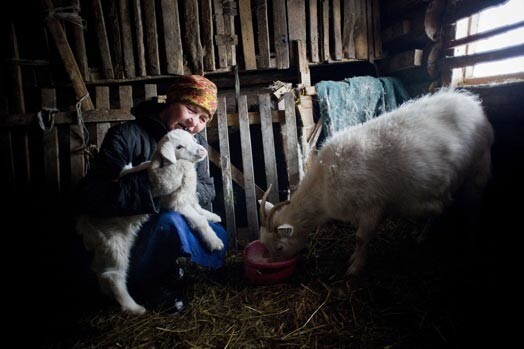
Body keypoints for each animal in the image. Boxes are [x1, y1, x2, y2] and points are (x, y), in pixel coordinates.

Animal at [75, 129, 221, 314]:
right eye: (179, 147)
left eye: (192, 139)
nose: (202, 150)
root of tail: (85, 222)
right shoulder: (174, 201)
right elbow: (198, 219)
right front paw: (214, 241)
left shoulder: (185, 196)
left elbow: (198, 208)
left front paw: (212, 216)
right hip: (113, 240)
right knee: (113, 275)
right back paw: (133, 307)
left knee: (101, 272)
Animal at [260, 88, 494, 276]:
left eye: (279, 247)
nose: (270, 266)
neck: (324, 184)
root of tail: (474, 105)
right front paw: (353, 260)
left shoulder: (371, 207)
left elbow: (361, 238)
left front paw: (355, 268)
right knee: (439, 209)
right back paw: (421, 236)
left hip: (478, 170)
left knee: (473, 208)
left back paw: (470, 241)